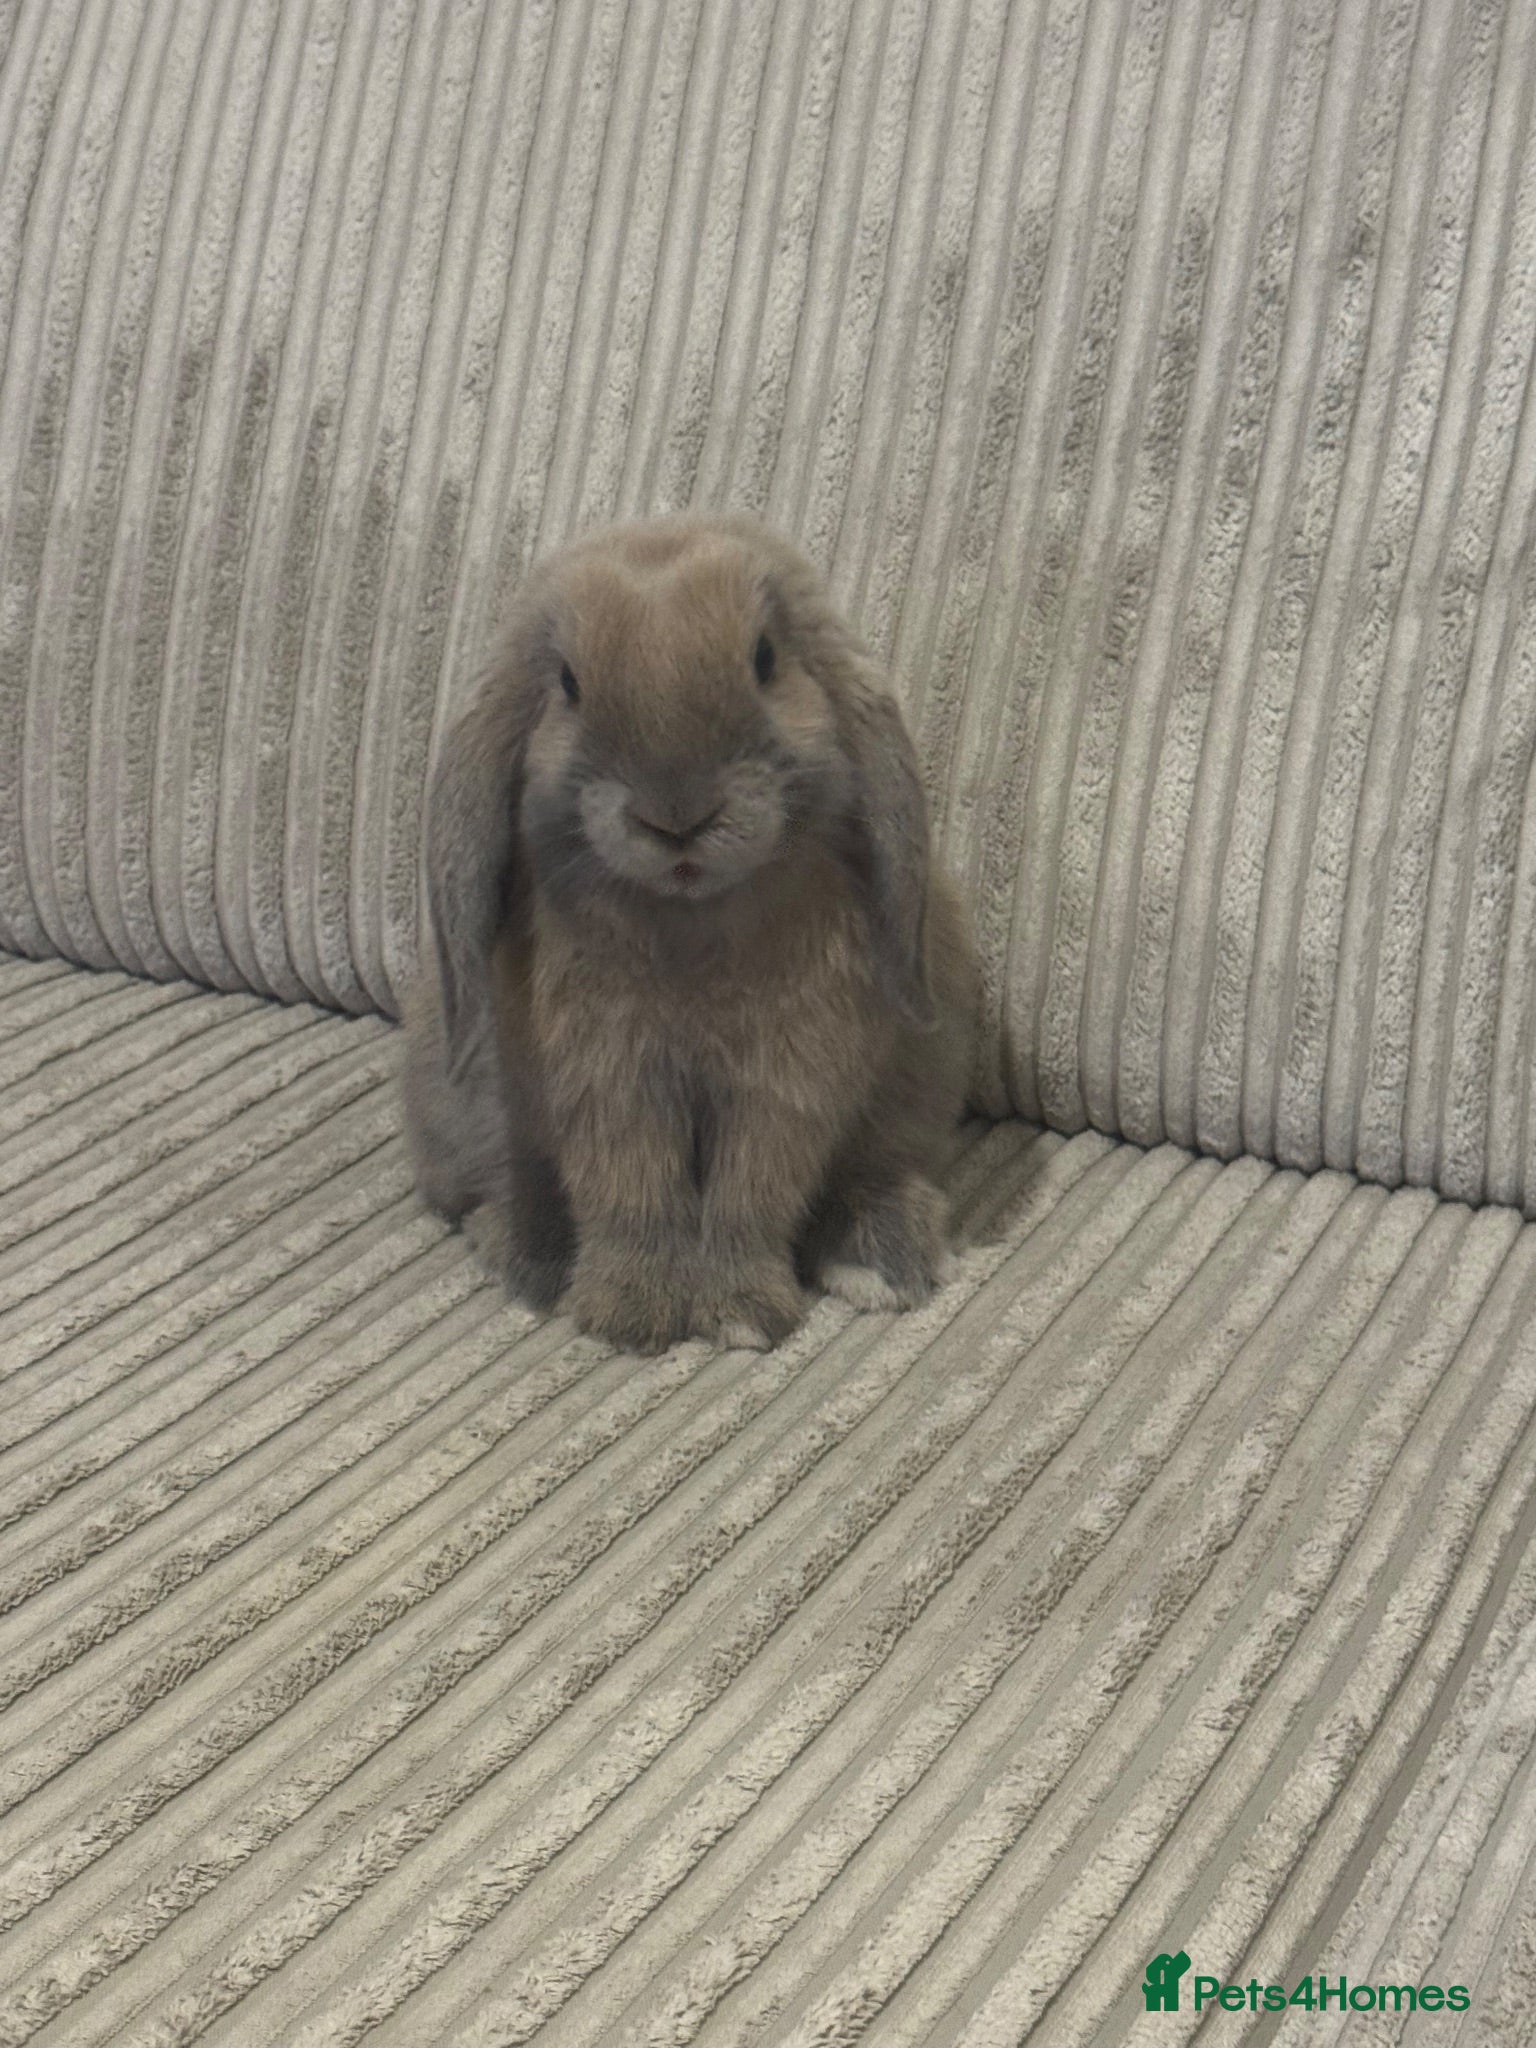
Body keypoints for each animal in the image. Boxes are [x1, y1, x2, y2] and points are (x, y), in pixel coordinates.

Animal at [401, 511, 976, 1353]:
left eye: (765, 659)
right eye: (568, 684)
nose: (678, 817)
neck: (690, 919)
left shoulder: (785, 1085)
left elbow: (750, 1193)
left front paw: (740, 1312)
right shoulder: (607, 1082)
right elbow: (632, 1191)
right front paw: (634, 1313)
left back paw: (880, 1255)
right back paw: (534, 1252)